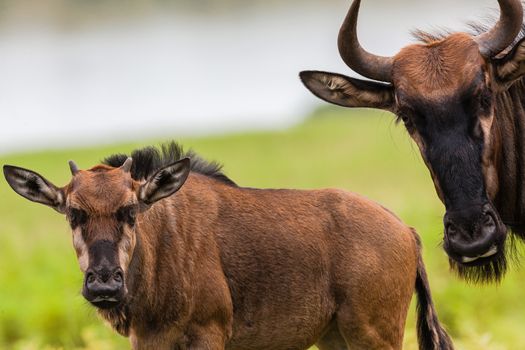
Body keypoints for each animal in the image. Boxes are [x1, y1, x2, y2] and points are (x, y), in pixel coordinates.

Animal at [3, 142, 450, 350]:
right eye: (73, 213)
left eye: (130, 210)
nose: (104, 285)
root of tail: (406, 231)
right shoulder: (148, 341)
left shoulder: (209, 333)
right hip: (337, 336)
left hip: (375, 333)